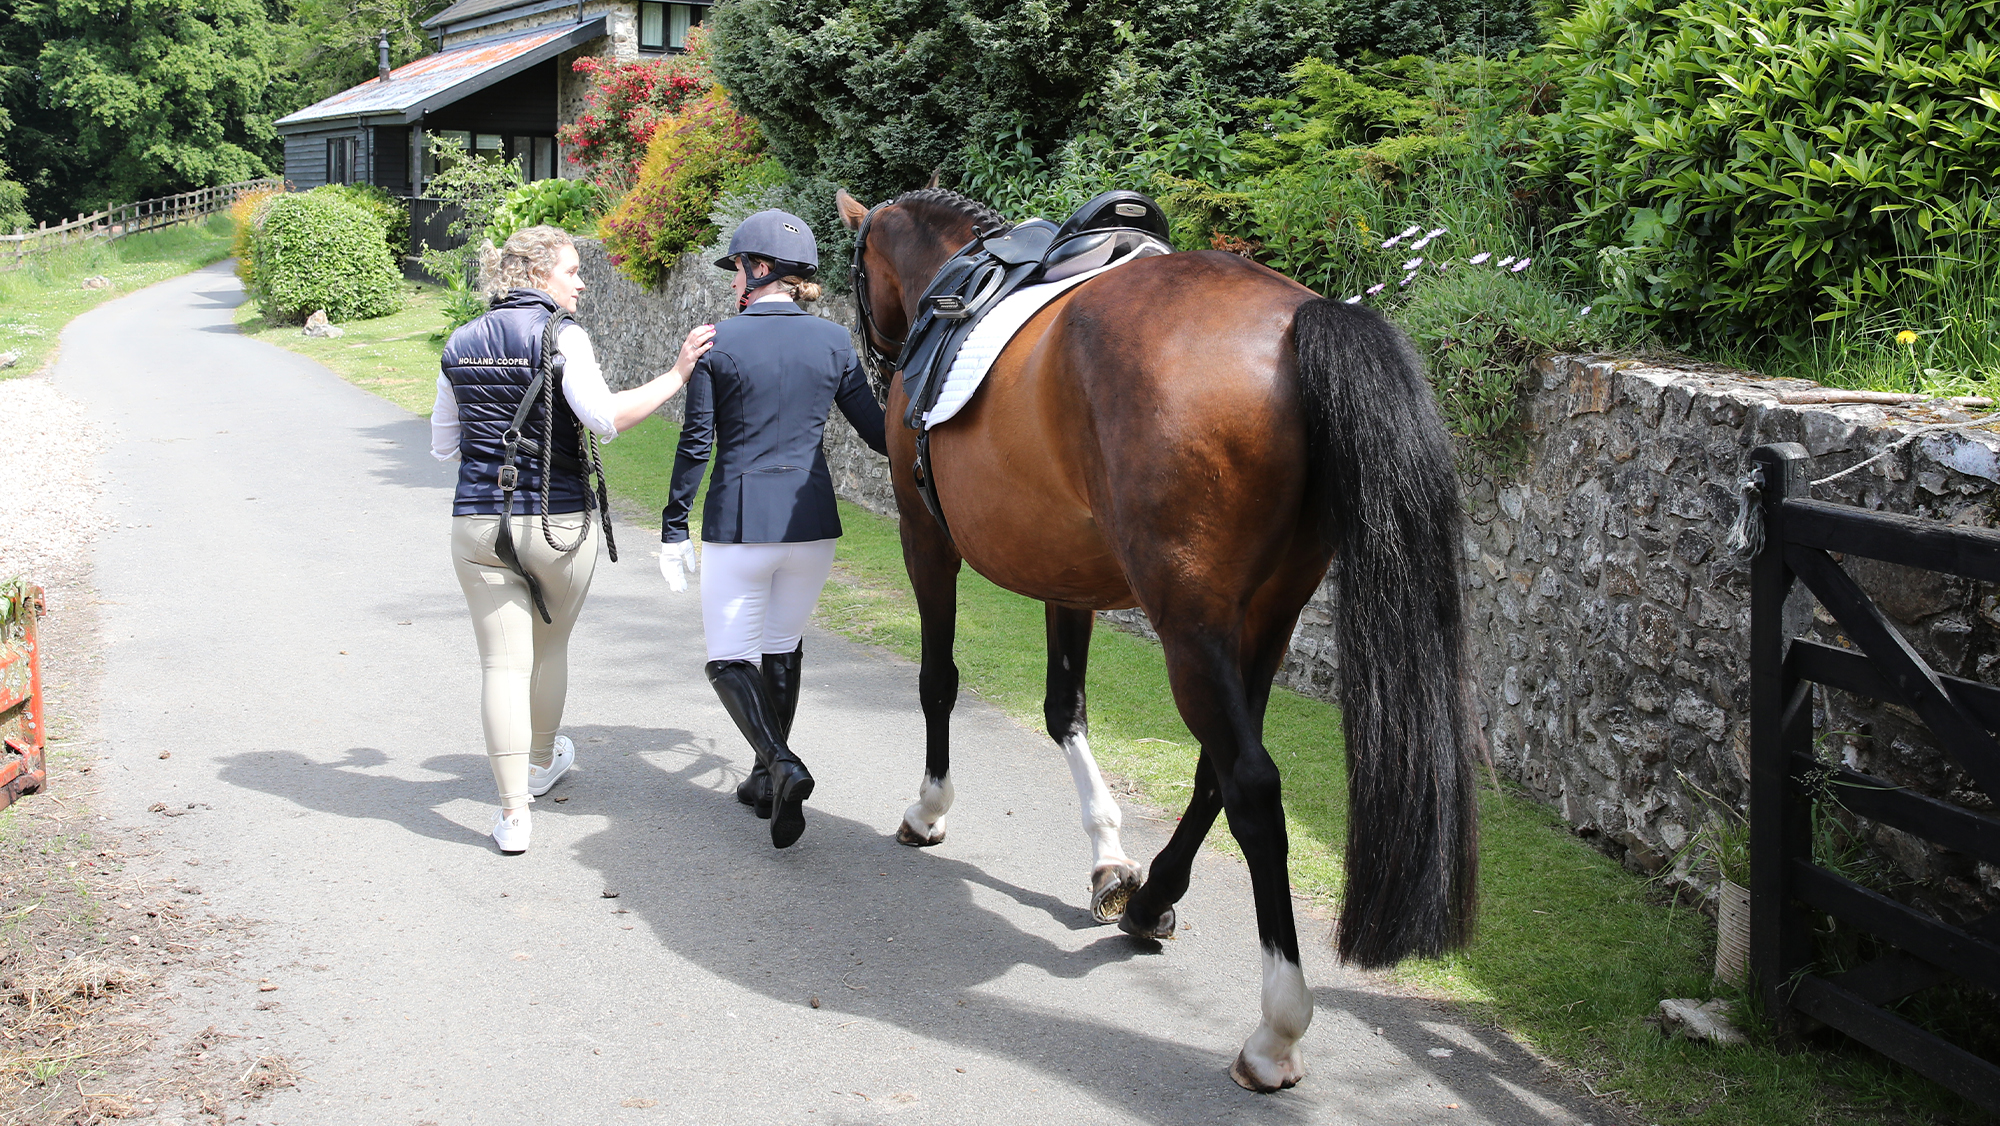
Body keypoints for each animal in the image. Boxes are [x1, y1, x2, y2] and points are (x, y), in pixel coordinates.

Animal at [835, 186, 1479, 1092]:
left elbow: (938, 680)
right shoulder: (1065, 575)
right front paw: (1109, 859)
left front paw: (928, 811)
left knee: (1252, 786)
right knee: (1216, 773)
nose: (877, 362)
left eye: (857, 274)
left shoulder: (925, 539)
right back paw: (1149, 903)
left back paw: (1276, 1027)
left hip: (1189, 622)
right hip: (1266, 619)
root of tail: (1298, 319)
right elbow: (1063, 707)